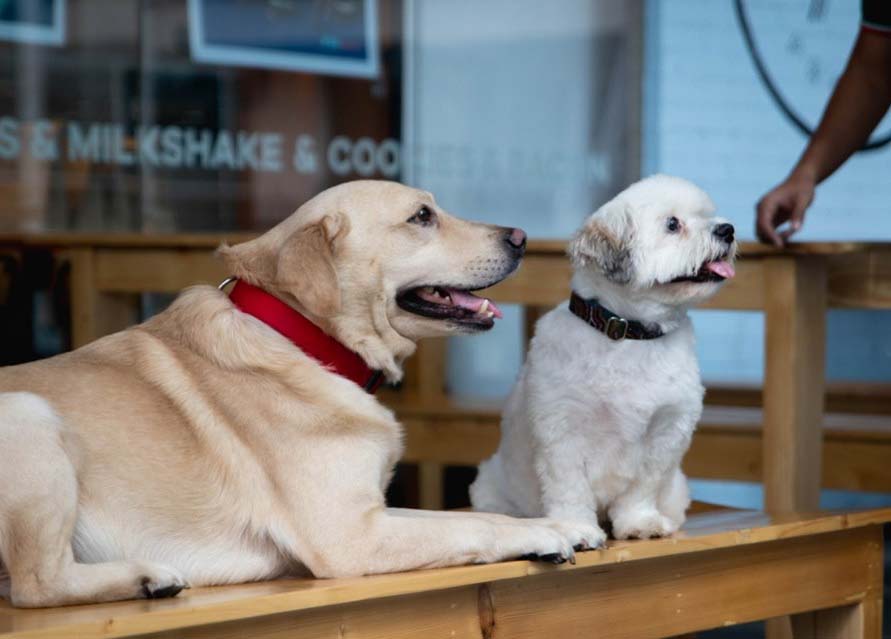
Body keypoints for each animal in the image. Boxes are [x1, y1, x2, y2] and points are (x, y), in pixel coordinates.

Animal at [470, 175, 736, 544]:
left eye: (708, 216)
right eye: (673, 224)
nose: (727, 230)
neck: (629, 334)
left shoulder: (667, 430)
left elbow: (642, 487)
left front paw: (640, 523)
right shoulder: (562, 429)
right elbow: (569, 488)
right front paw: (576, 529)